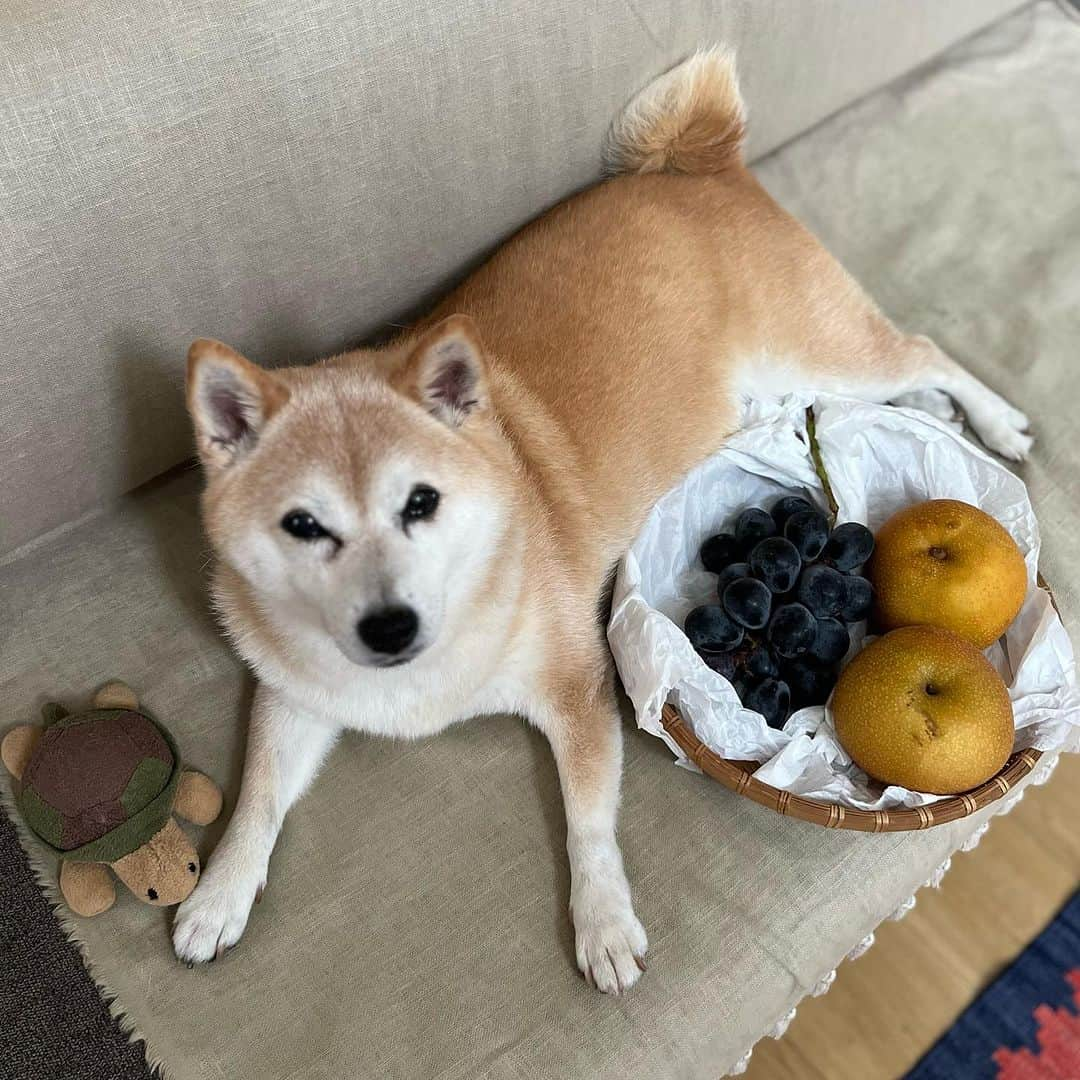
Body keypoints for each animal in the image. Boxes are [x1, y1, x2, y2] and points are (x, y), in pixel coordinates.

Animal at [172, 50, 1032, 993]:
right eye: (302, 525)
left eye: (420, 503)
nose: (389, 625)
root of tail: (698, 169)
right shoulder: (295, 696)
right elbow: (256, 796)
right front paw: (219, 892)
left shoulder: (575, 689)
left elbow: (587, 822)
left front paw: (604, 921)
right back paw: (937, 421)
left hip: (827, 351)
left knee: (924, 353)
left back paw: (997, 423)